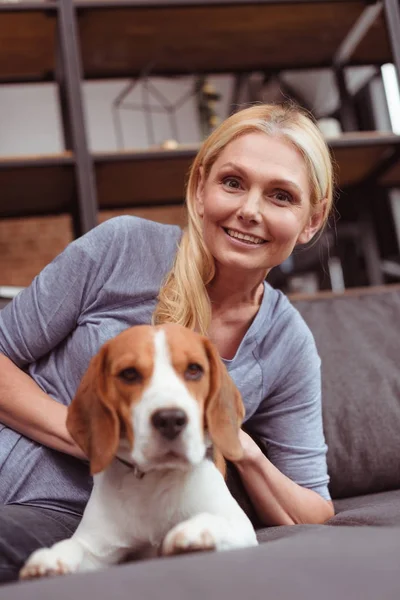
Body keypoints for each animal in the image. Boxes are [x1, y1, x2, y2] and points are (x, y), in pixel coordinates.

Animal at [20, 326, 260, 580]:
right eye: (129, 374)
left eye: (194, 370)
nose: (170, 419)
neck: (154, 480)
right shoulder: (98, 549)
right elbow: (74, 545)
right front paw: (50, 557)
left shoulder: (242, 529)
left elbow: (215, 520)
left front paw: (193, 530)